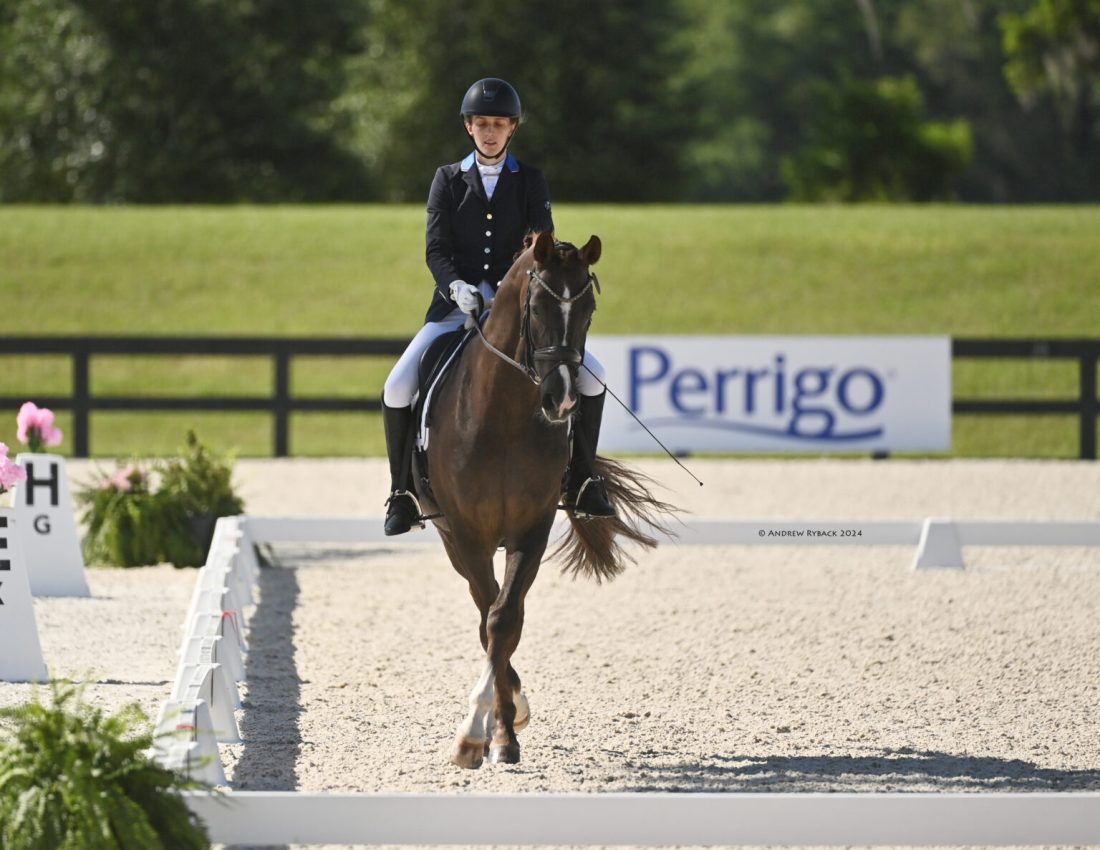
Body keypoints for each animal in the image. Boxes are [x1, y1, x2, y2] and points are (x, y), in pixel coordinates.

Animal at [420, 228, 673, 765]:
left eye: (590, 310)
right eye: (535, 307)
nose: (563, 401)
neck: (504, 415)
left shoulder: (531, 529)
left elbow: (505, 622)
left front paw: (499, 732)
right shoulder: (468, 534)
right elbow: (491, 619)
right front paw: (479, 730)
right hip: (451, 538)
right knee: (481, 605)